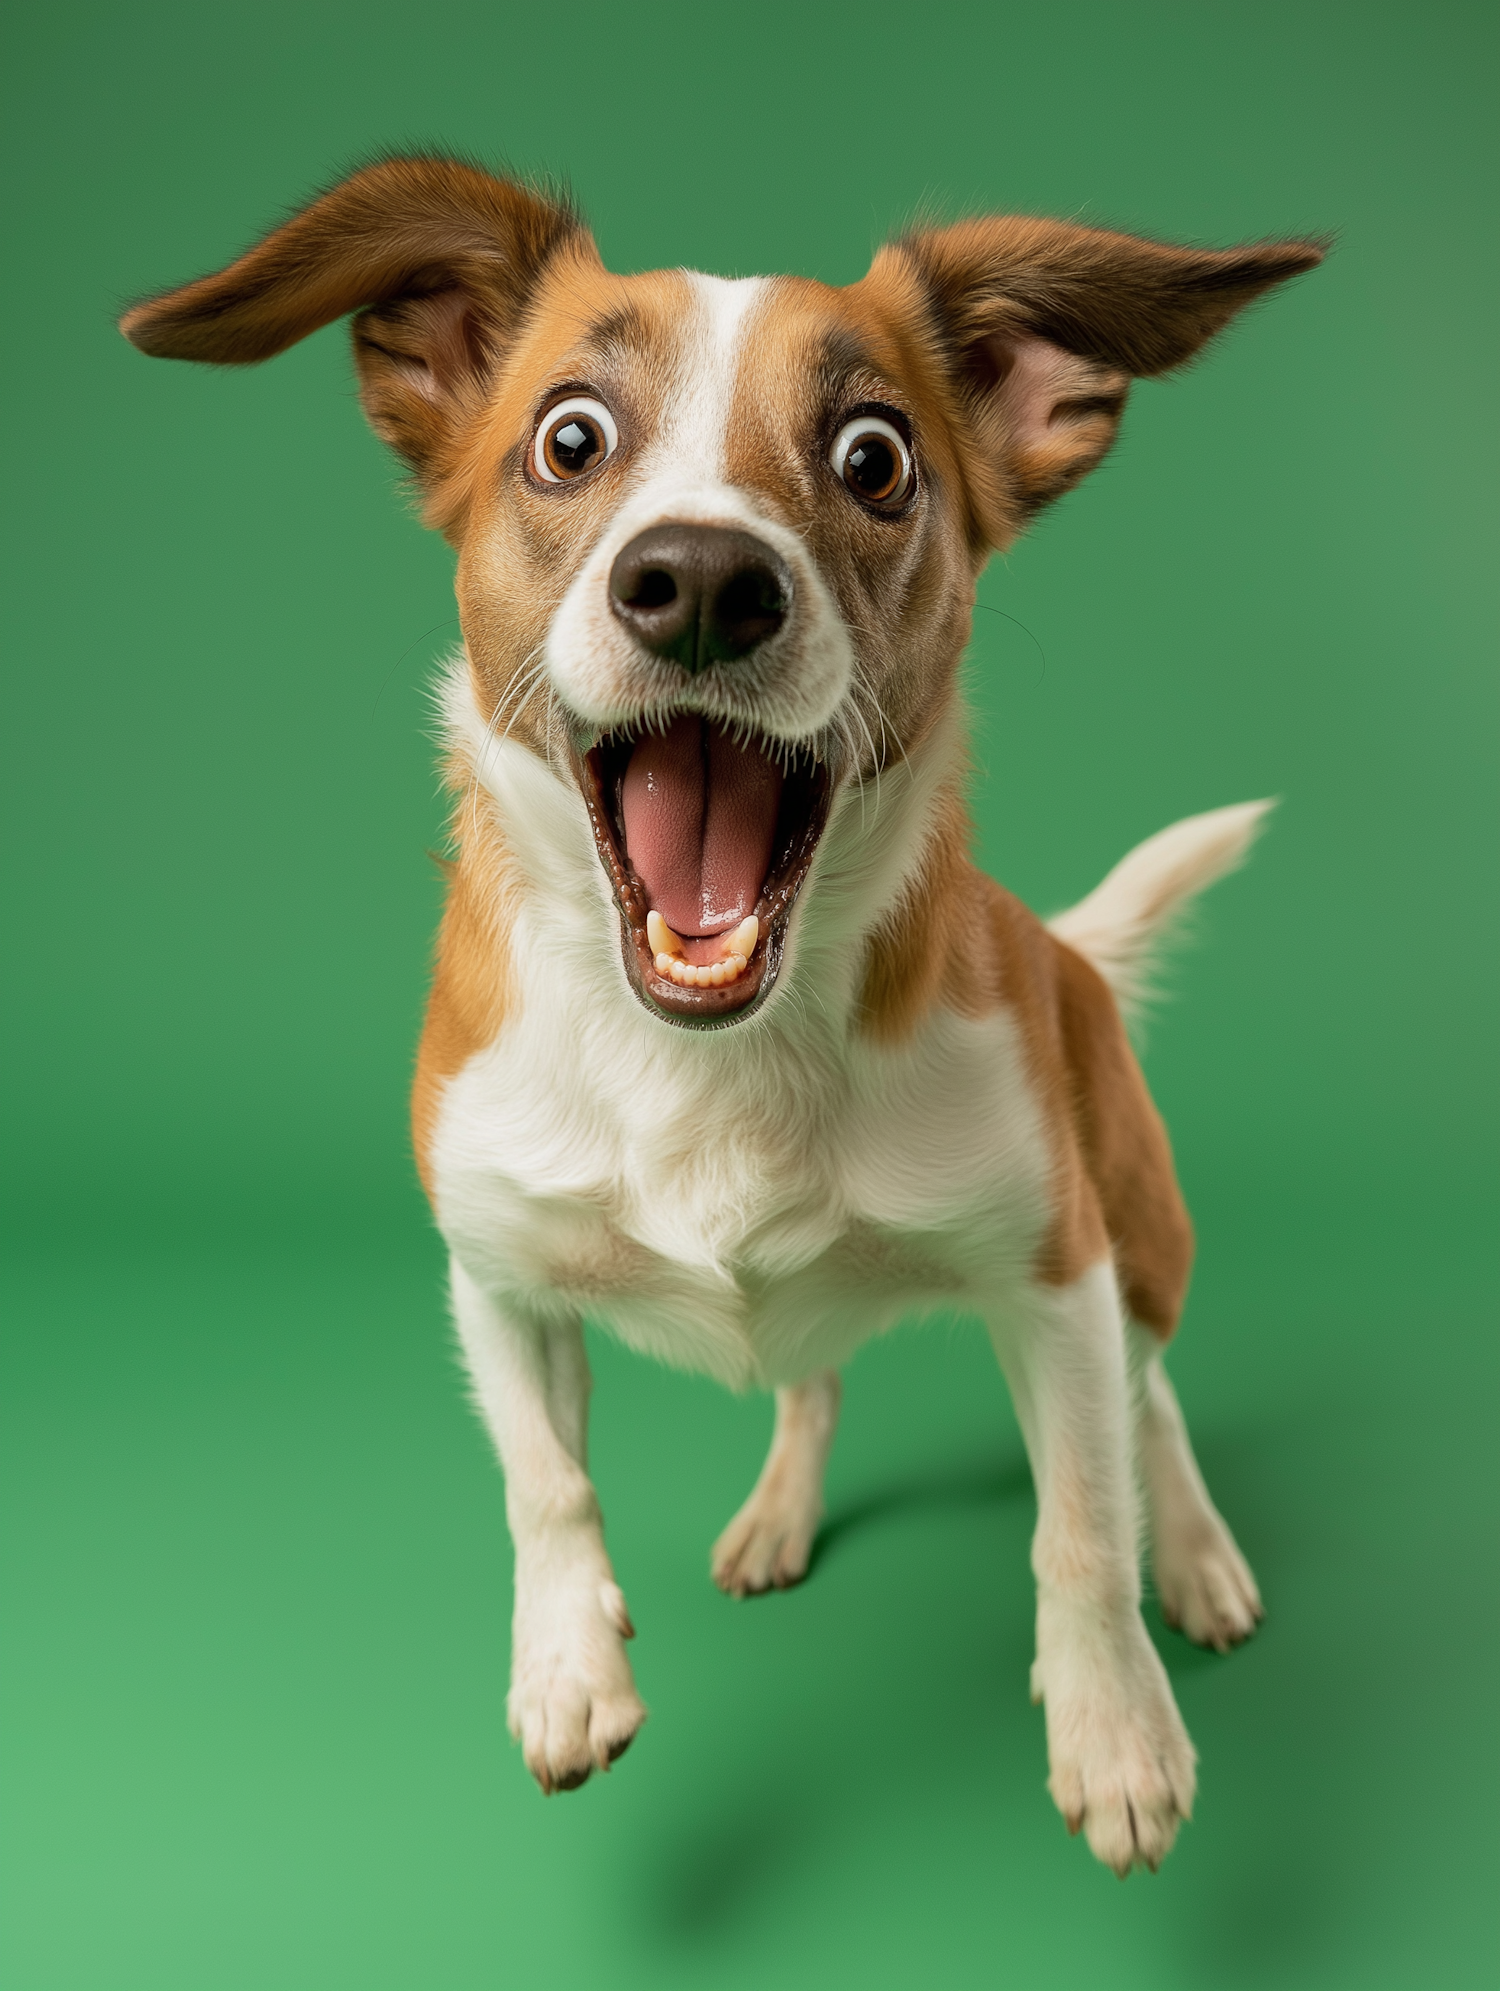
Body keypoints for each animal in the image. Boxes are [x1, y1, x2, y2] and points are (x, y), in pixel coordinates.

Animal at [125, 159, 1322, 1879]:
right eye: (569, 438)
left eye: (876, 458)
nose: (698, 579)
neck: (711, 1051)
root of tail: (1060, 948)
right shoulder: (495, 1272)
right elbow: (543, 1480)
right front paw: (566, 1666)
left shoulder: (1054, 1272)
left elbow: (1083, 1520)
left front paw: (1117, 1728)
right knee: (810, 1371)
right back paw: (778, 1511)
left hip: (1138, 1233)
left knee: (1149, 1399)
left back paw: (1205, 1555)